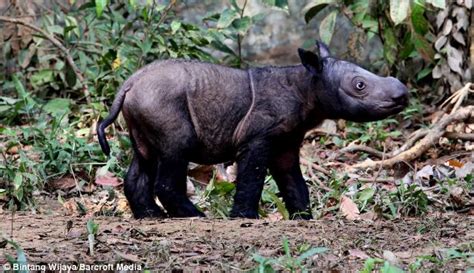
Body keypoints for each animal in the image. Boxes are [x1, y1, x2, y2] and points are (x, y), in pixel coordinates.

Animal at [96, 41, 408, 219]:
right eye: (359, 85)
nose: (402, 95)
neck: (308, 84)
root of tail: (129, 84)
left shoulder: (286, 141)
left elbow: (292, 180)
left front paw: (303, 217)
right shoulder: (258, 137)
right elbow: (252, 176)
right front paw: (245, 217)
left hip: (145, 103)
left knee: (145, 155)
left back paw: (151, 216)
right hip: (161, 101)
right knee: (175, 149)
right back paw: (194, 216)